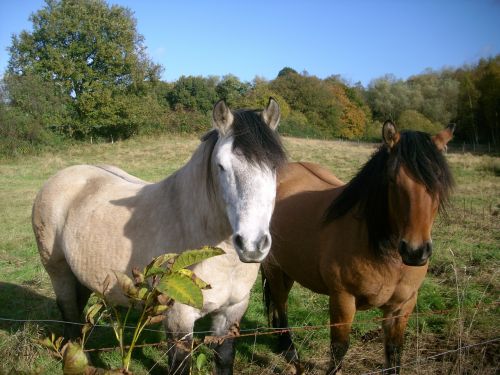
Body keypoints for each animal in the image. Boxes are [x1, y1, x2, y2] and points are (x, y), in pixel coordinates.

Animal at [264, 122, 456, 374]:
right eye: (392, 180)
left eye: (439, 180)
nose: (415, 252)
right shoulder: (342, 300)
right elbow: (339, 349)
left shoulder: (402, 307)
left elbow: (394, 353)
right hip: (274, 268)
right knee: (281, 303)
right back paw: (289, 350)